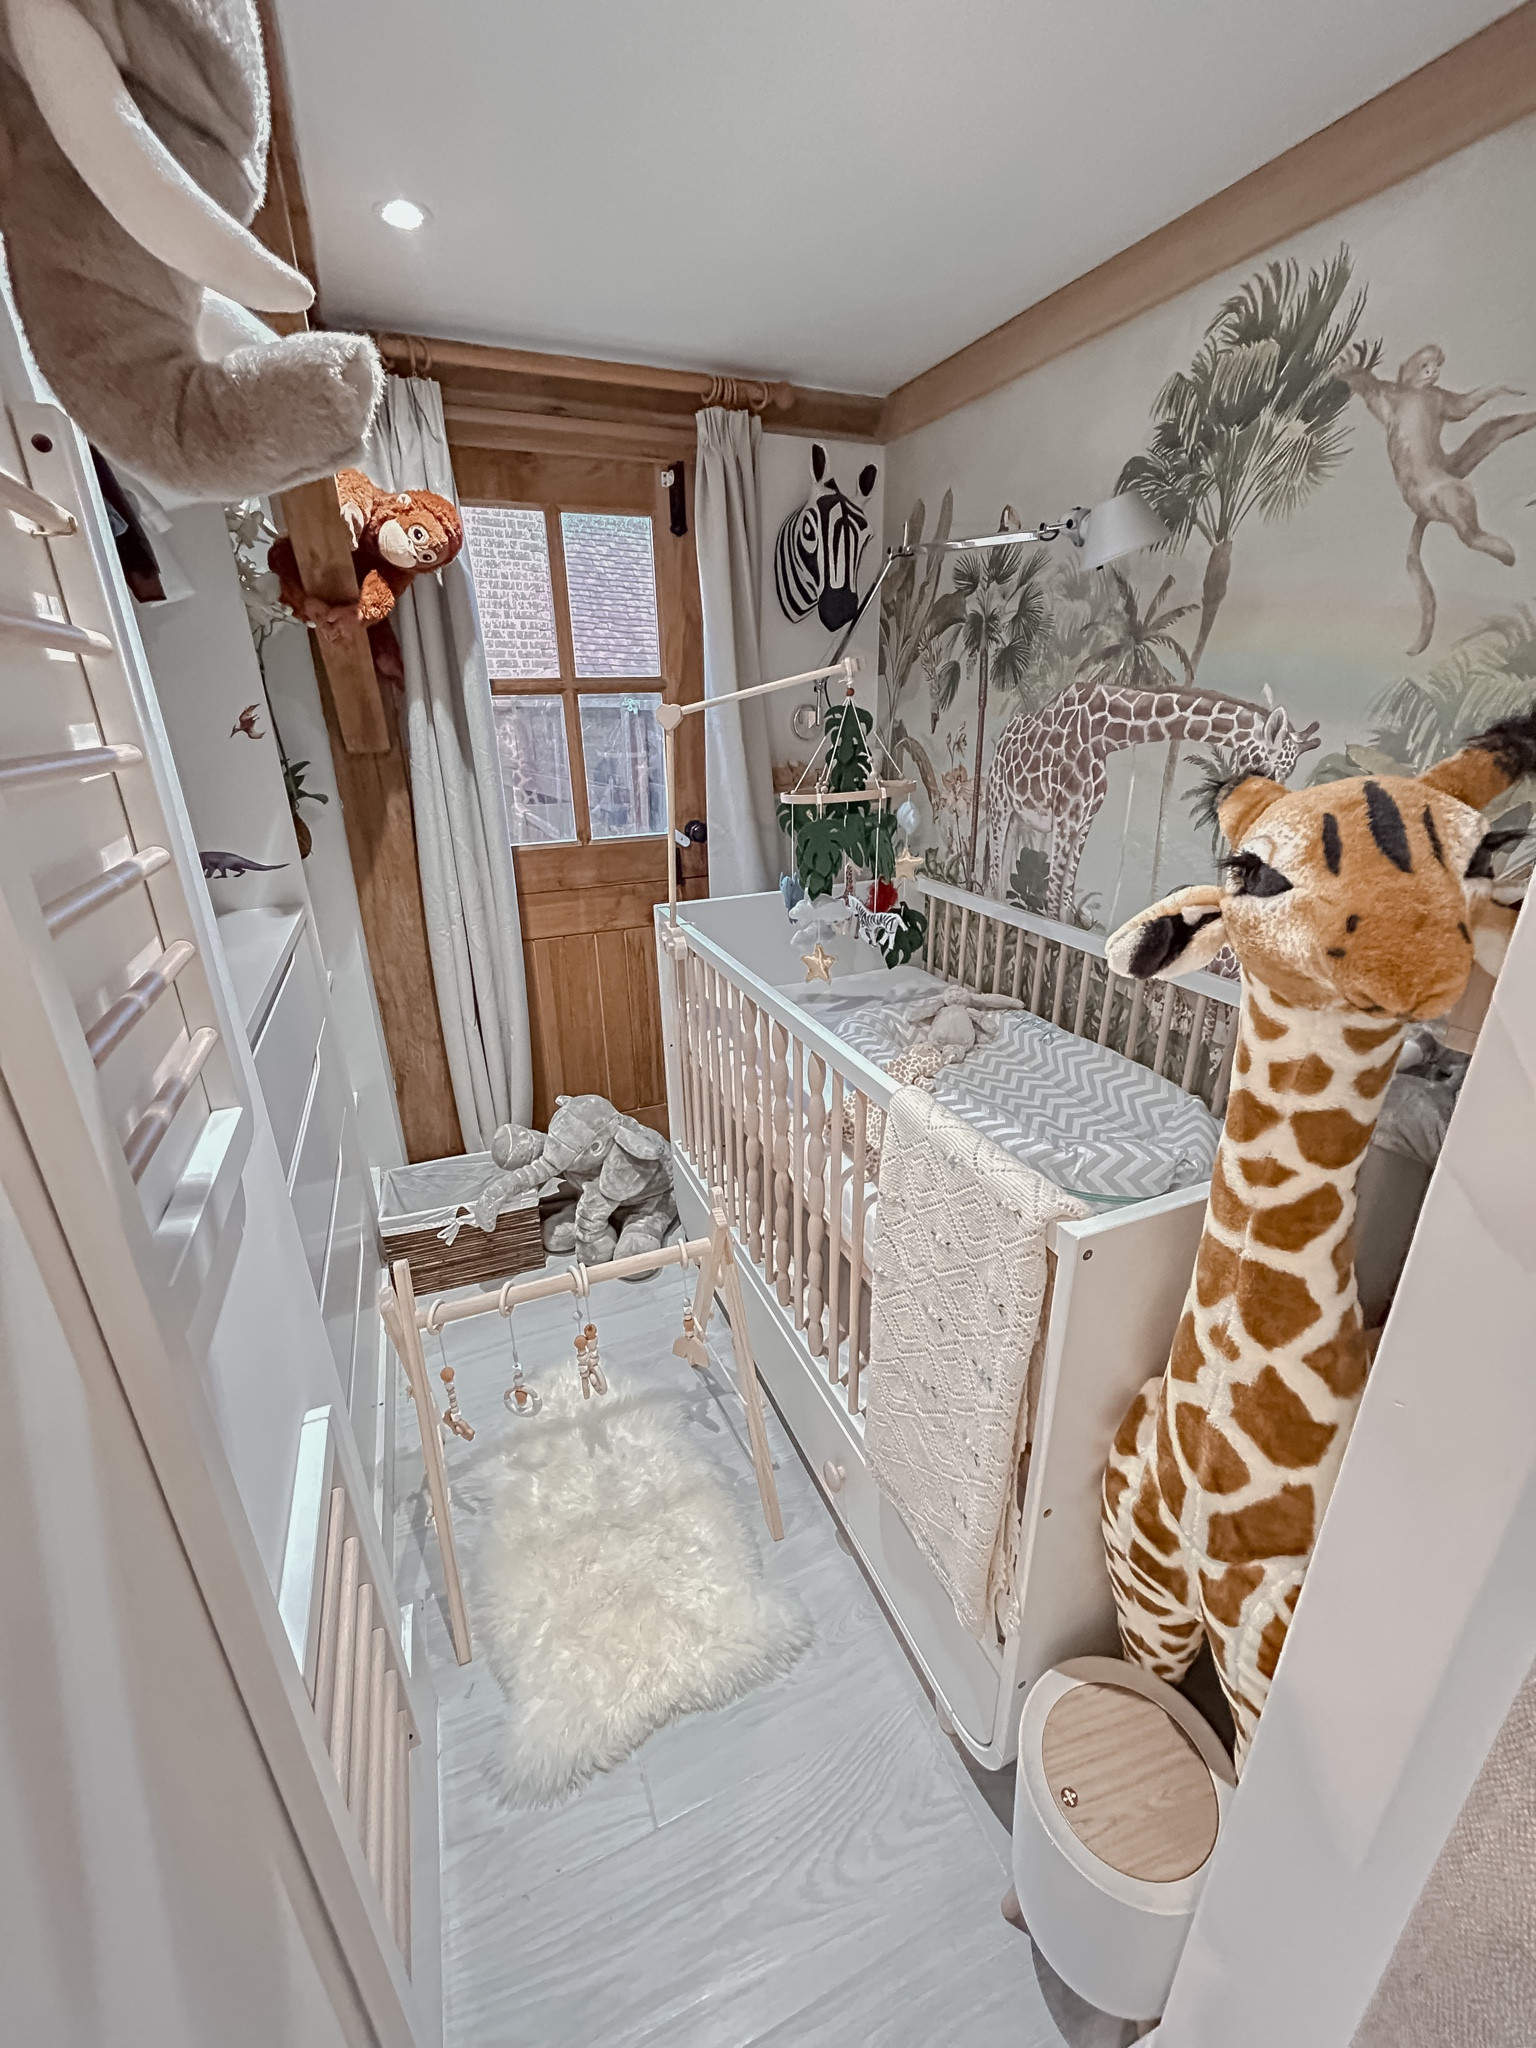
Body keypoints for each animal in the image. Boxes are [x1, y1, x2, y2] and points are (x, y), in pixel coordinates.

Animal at [1335, 341, 1536, 655]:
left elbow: (1464, 408)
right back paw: (1499, 549)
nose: (1432, 371)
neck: (1418, 393)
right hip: (1440, 489)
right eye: (1424, 365)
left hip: (1451, 470)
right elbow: (1368, 387)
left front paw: (1506, 388)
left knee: (1492, 431)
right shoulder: (1392, 396)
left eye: (1435, 365)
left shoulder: (1437, 397)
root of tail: (1424, 512)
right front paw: (1348, 367)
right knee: (1464, 518)